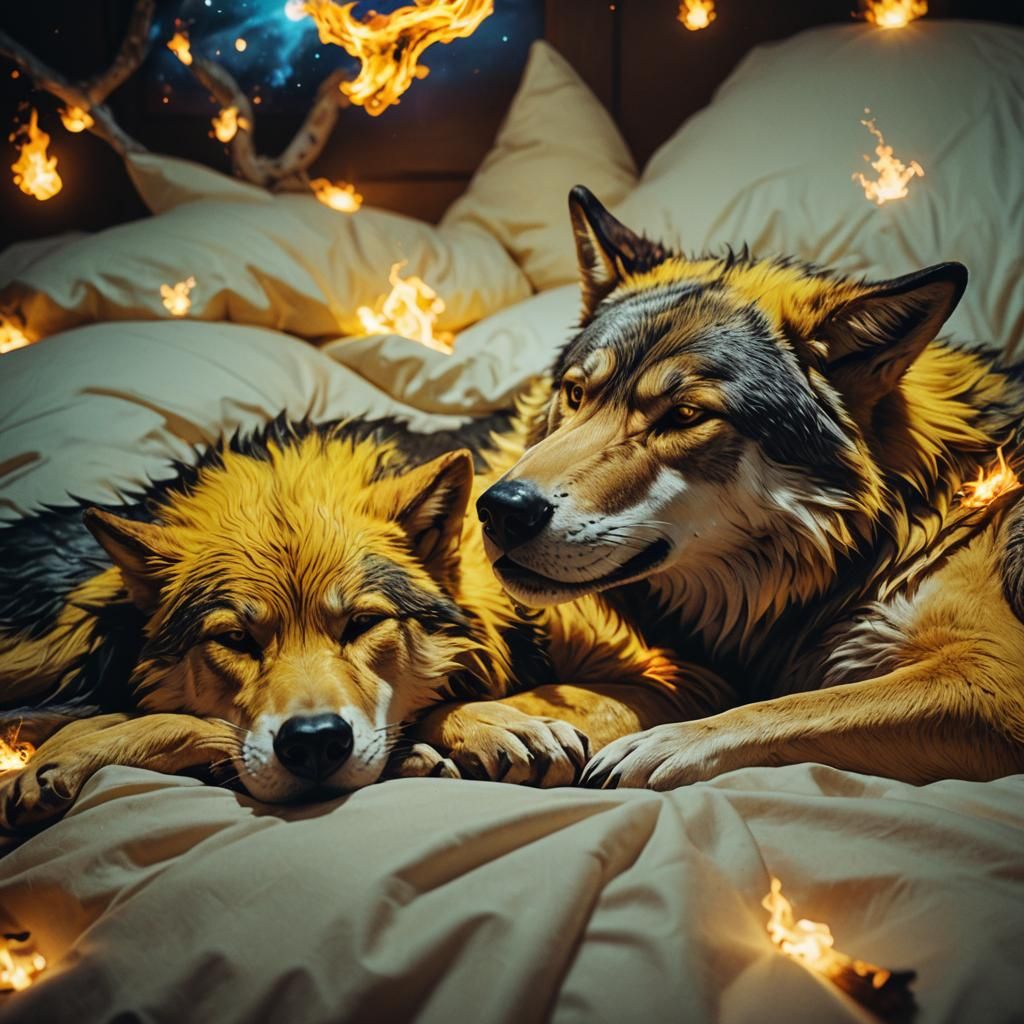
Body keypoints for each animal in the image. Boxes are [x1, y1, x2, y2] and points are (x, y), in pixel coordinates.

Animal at [0, 414, 723, 832]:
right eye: (235, 639)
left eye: (362, 625)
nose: (316, 742)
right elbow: (174, 721)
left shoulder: (680, 675)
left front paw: (489, 724)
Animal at [476, 186, 1024, 790]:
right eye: (576, 394)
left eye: (685, 415)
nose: (501, 510)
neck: (905, 516)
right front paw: (486, 723)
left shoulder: (994, 673)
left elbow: (793, 705)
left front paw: (661, 745)